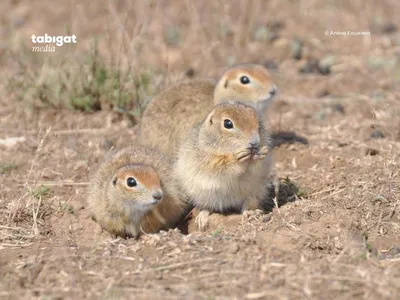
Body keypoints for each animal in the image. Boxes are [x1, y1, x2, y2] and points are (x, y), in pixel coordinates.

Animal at [173, 101, 274, 230]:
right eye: (228, 123)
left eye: (258, 120)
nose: (255, 142)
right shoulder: (208, 158)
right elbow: (222, 165)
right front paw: (237, 158)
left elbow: (257, 166)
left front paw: (261, 153)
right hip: (203, 195)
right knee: (207, 207)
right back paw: (202, 218)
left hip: (254, 192)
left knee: (248, 205)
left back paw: (250, 213)